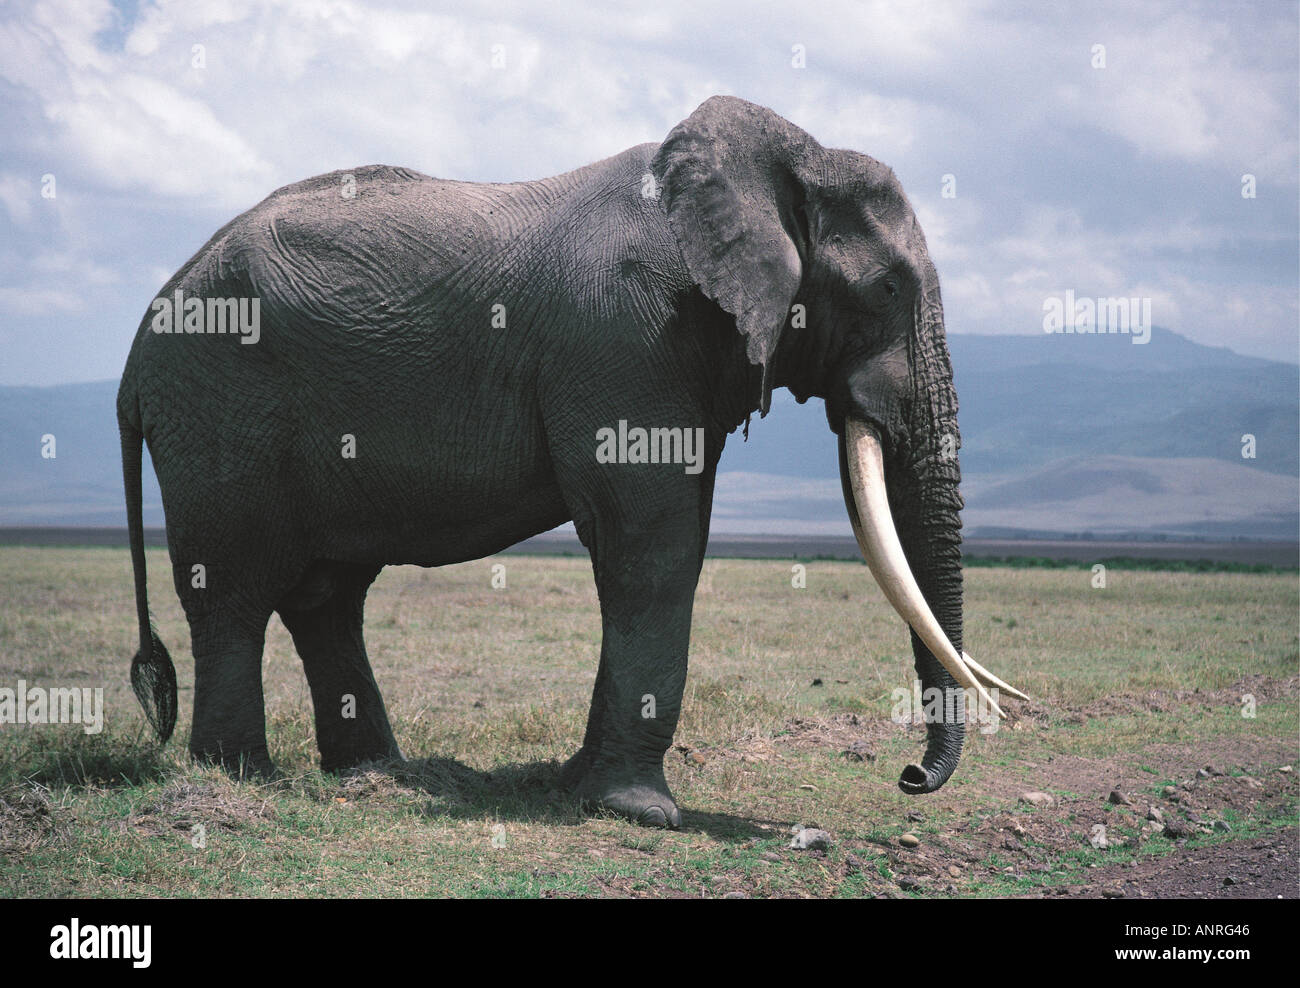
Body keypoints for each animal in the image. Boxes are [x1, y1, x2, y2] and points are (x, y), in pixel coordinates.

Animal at [119, 98, 1024, 826]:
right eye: (887, 291)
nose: (908, 776)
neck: (783, 157)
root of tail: (134, 359)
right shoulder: (627, 334)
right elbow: (651, 545)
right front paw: (639, 812)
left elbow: (669, 539)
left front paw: (576, 788)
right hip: (221, 411)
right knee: (235, 589)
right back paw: (239, 778)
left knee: (327, 595)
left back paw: (374, 772)